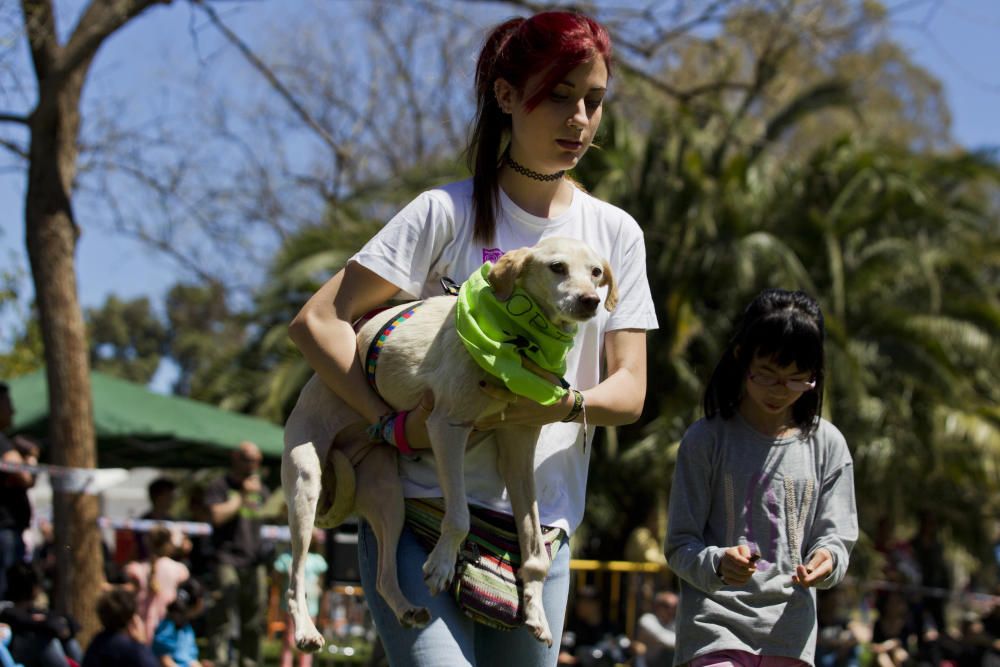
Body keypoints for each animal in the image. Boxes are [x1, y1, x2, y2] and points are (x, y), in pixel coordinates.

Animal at [278, 239, 612, 652]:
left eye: (596, 272)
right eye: (557, 267)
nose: (590, 301)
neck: (516, 341)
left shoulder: (518, 450)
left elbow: (534, 545)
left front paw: (535, 612)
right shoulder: (446, 427)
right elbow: (459, 516)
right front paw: (441, 565)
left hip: (387, 497)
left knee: (383, 576)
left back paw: (406, 609)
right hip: (305, 483)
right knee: (295, 575)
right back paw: (306, 630)